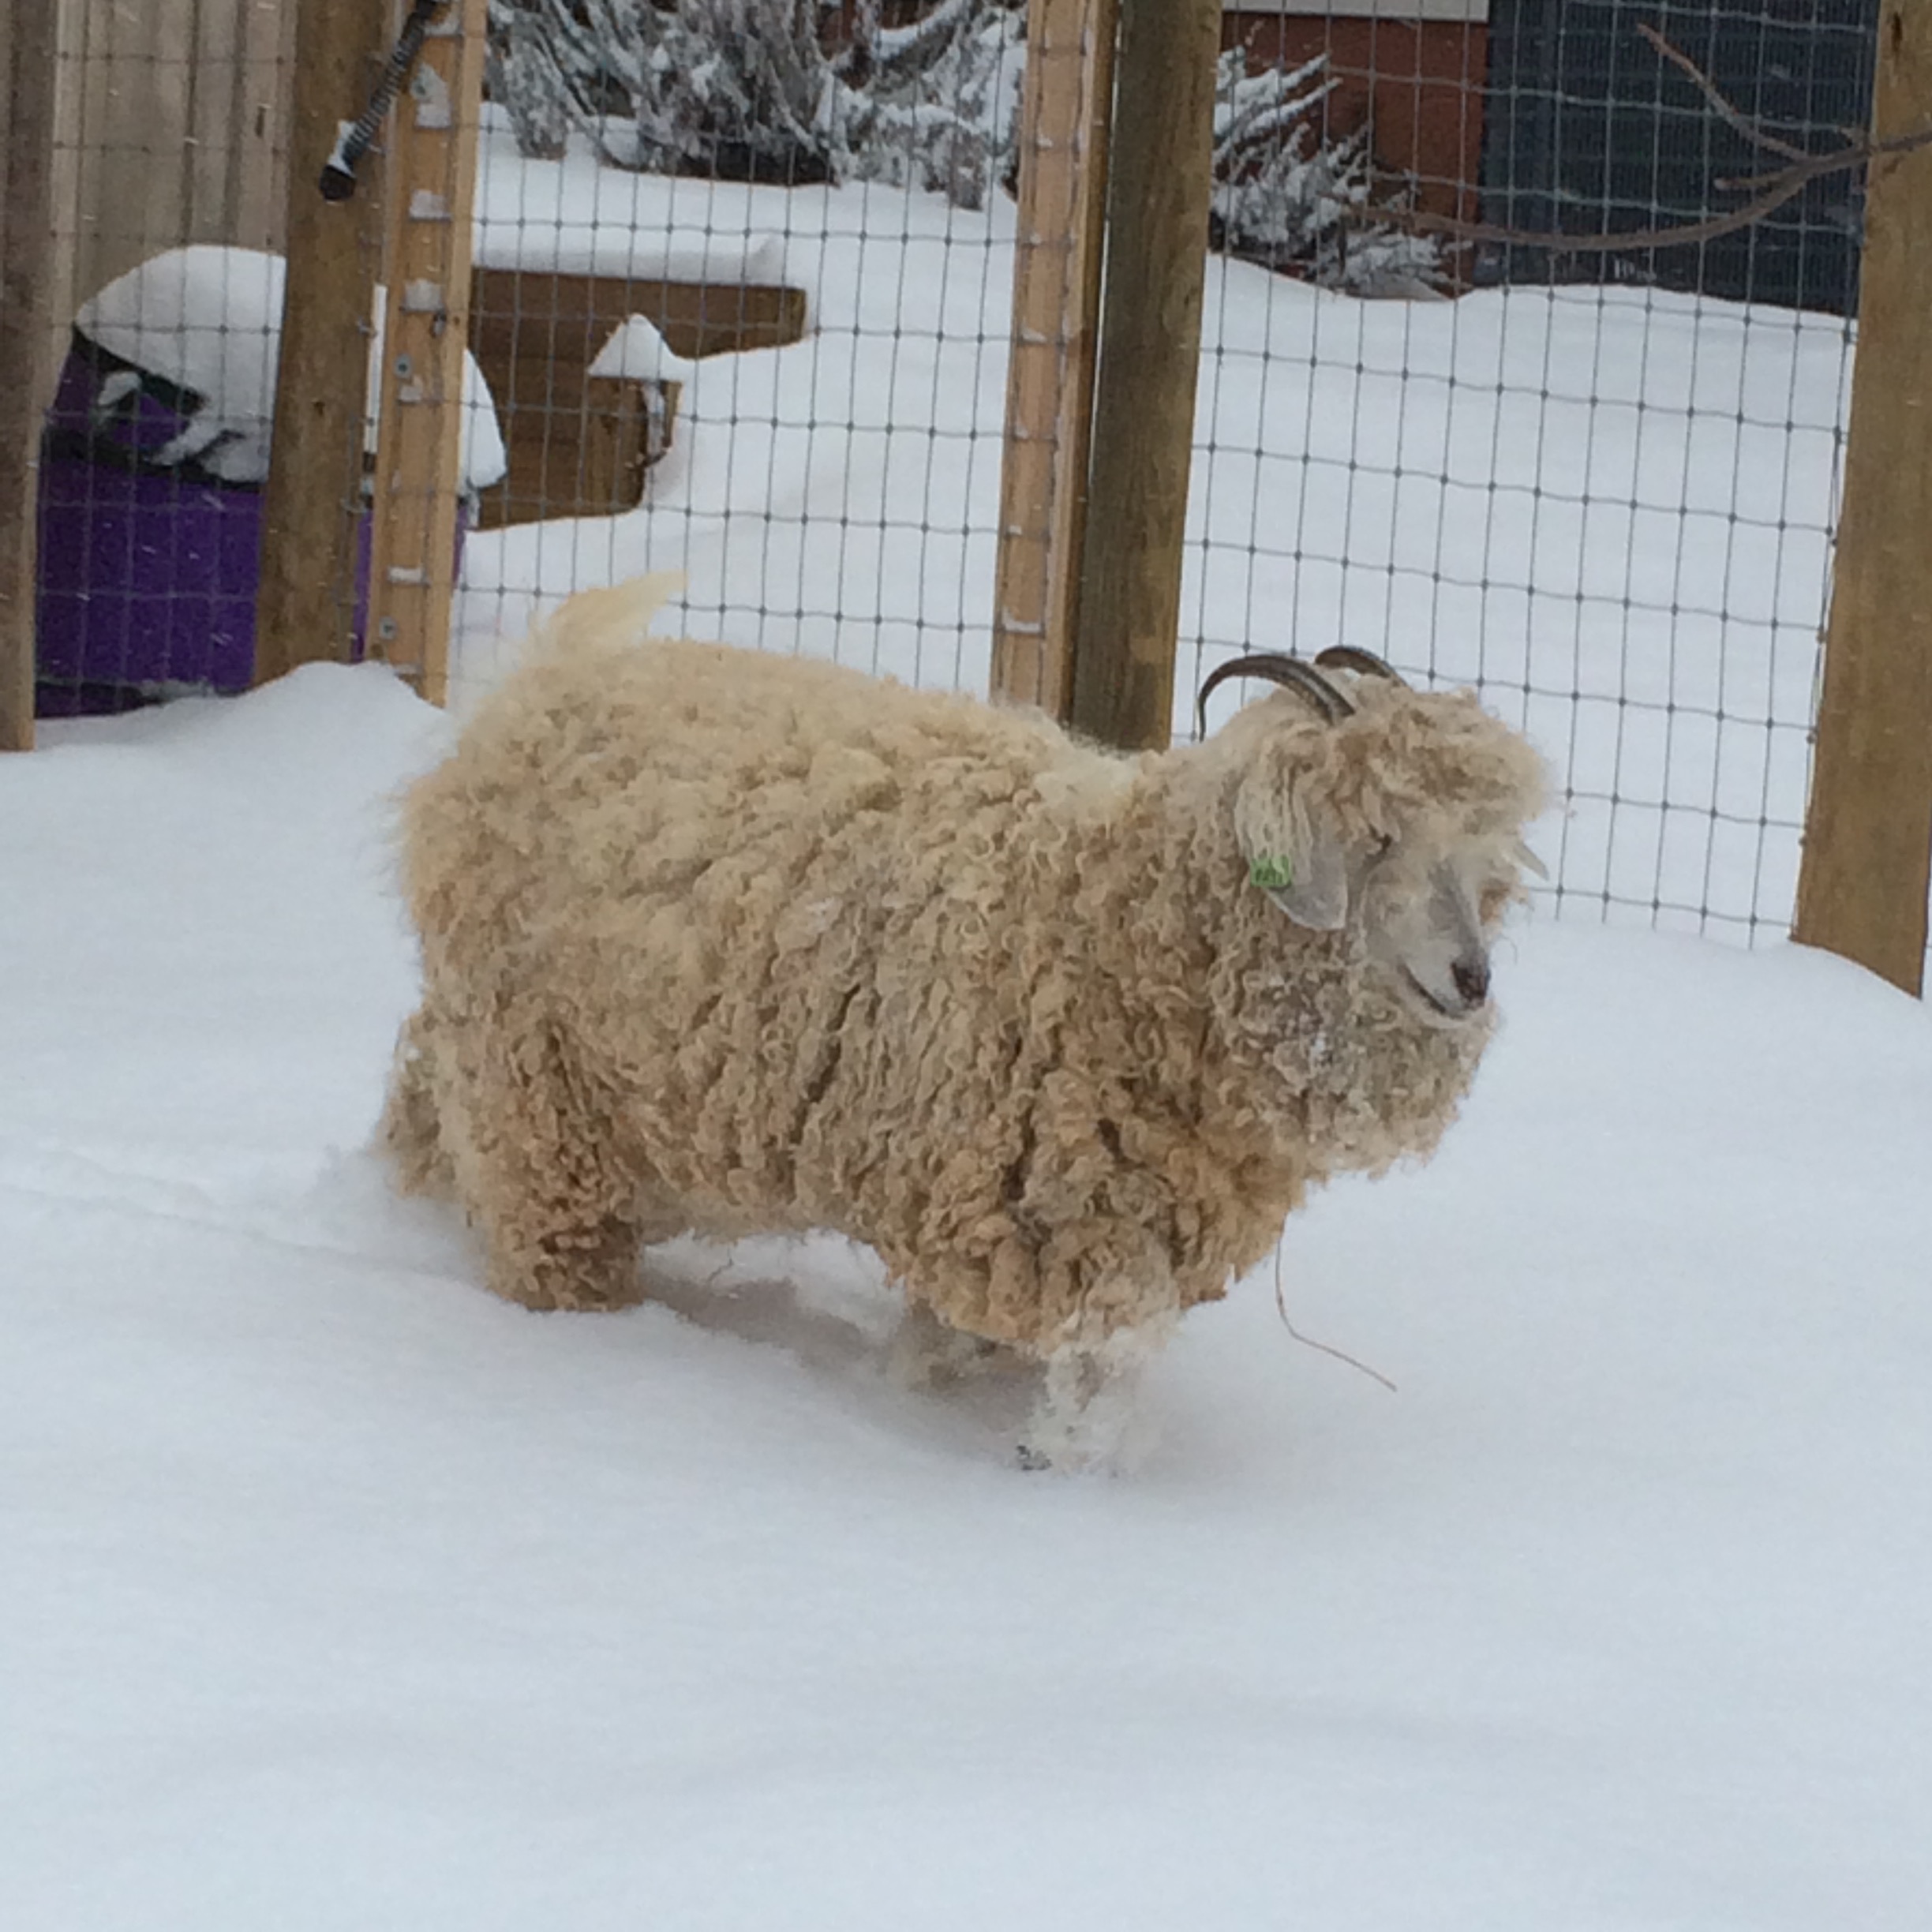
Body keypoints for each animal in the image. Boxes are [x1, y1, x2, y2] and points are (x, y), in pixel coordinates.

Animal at [384, 571, 1545, 1460]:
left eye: (1479, 851)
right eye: (1378, 837)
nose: (1471, 979)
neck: (1114, 923)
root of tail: (529, 692)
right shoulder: (1051, 1217)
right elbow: (1100, 1363)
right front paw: (1063, 1473)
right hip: (540, 1096)